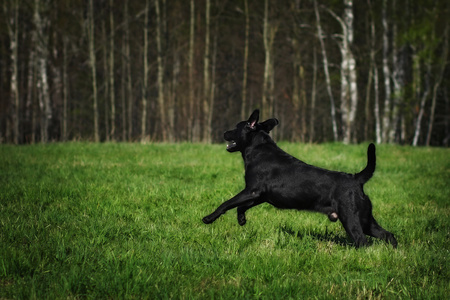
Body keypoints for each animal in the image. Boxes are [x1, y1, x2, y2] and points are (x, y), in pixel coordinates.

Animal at [204, 109, 398, 247]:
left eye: (235, 127)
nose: (224, 132)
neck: (258, 149)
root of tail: (356, 179)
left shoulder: (251, 190)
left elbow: (227, 203)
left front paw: (209, 218)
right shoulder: (260, 195)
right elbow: (240, 207)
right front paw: (241, 219)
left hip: (351, 218)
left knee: (362, 241)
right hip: (365, 219)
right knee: (388, 235)